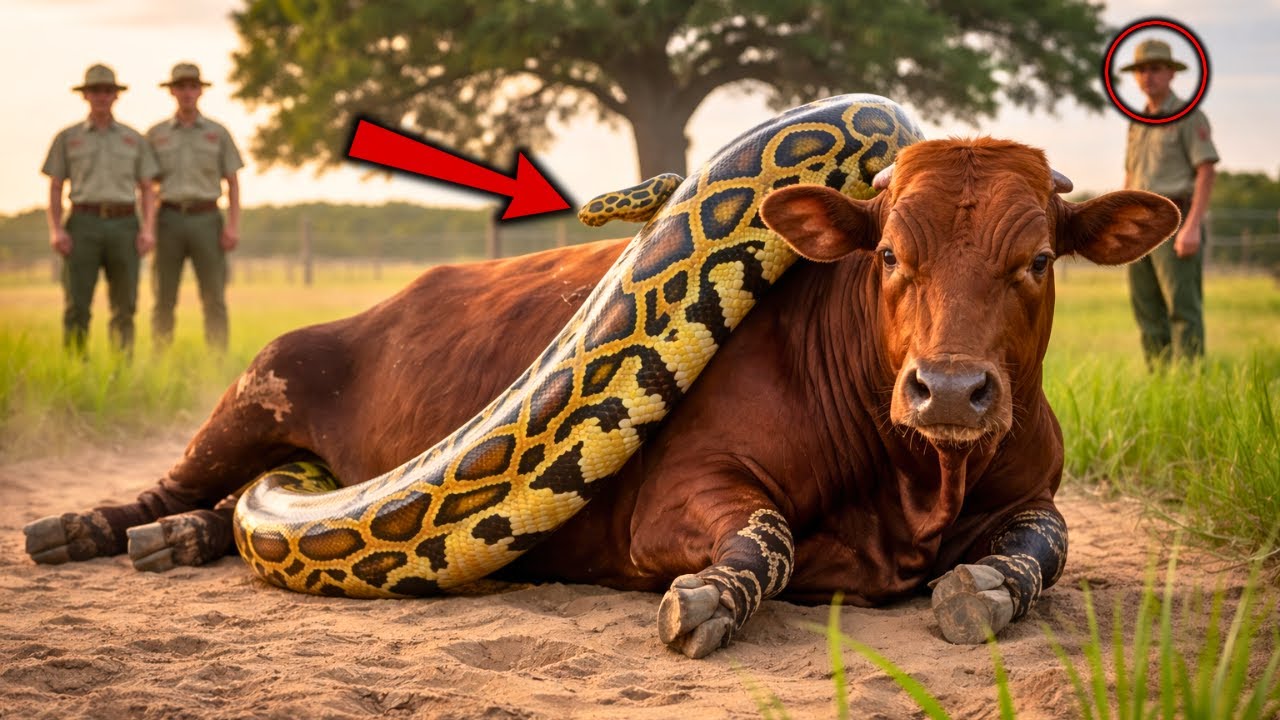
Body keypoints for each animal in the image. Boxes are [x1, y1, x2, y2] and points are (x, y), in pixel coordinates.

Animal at [24, 137, 1179, 658]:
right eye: (889, 252)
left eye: (1038, 260)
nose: (949, 390)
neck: (916, 474)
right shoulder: (673, 499)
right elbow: (763, 534)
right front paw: (711, 597)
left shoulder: (1029, 488)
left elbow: (1046, 541)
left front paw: (987, 584)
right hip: (260, 377)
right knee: (180, 481)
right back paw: (104, 528)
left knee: (235, 507)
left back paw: (189, 538)